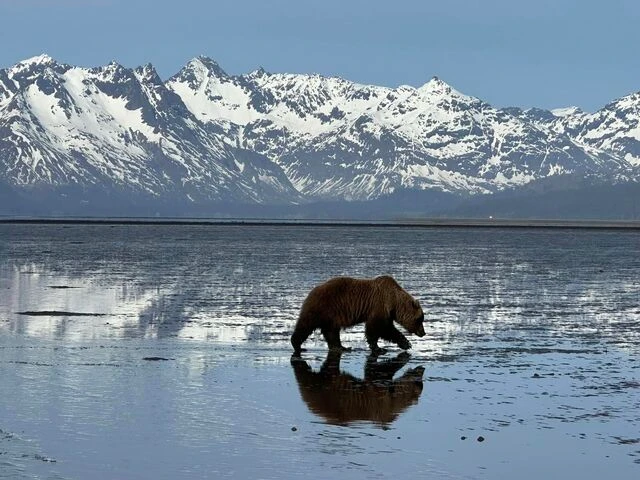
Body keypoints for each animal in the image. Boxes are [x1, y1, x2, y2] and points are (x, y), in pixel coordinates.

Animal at [290, 275, 426, 354]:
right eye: (420, 319)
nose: (423, 332)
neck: (394, 302)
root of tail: (312, 291)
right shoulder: (379, 307)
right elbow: (379, 328)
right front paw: (380, 348)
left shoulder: (387, 313)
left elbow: (386, 329)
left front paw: (405, 344)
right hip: (323, 307)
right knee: (306, 325)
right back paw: (297, 345)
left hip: (331, 316)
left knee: (331, 332)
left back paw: (342, 347)